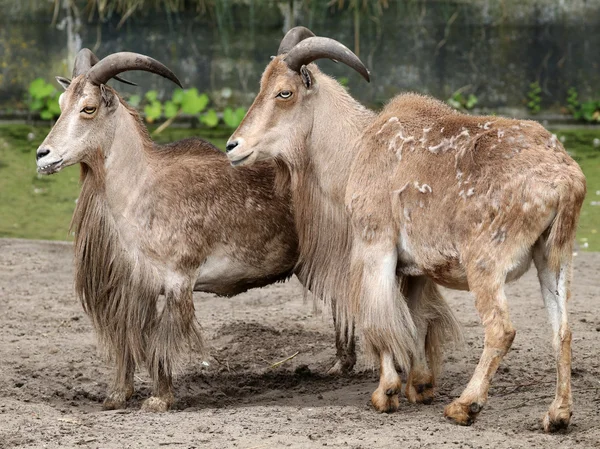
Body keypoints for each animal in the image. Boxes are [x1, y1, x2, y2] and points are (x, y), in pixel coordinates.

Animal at [227, 28, 588, 430]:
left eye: (284, 93)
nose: (232, 146)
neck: (356, 149)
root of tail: (565, 179)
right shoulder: (414, 270)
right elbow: (414, 320)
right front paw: (420, 386)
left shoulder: (375, 248)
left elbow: (381, 320)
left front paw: (385, 393)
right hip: (553, 259)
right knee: (562, 330)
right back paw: (557, 414)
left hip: (486, 265)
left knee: (501, 330)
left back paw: (465, 405)